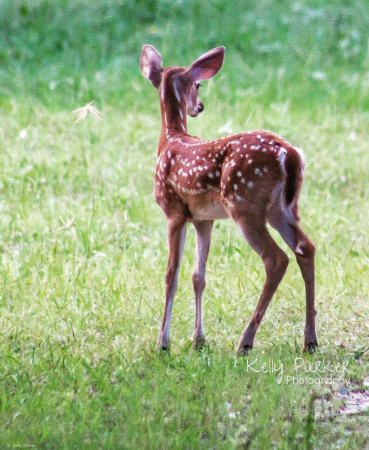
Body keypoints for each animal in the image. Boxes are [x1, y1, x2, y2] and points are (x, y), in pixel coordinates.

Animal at [139, 45, 318, 356]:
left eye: (198, 84)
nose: (199, 107)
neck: (171, 138)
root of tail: (290, 154)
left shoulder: (174, 212)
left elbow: (171, 275)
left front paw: (163, 342)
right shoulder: (204, 218)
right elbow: (198, 277)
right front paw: (199, 341)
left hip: (245, 205)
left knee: (276, 259)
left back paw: (245, 341)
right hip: (283, 208)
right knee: (305, 248)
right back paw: (310, 340)